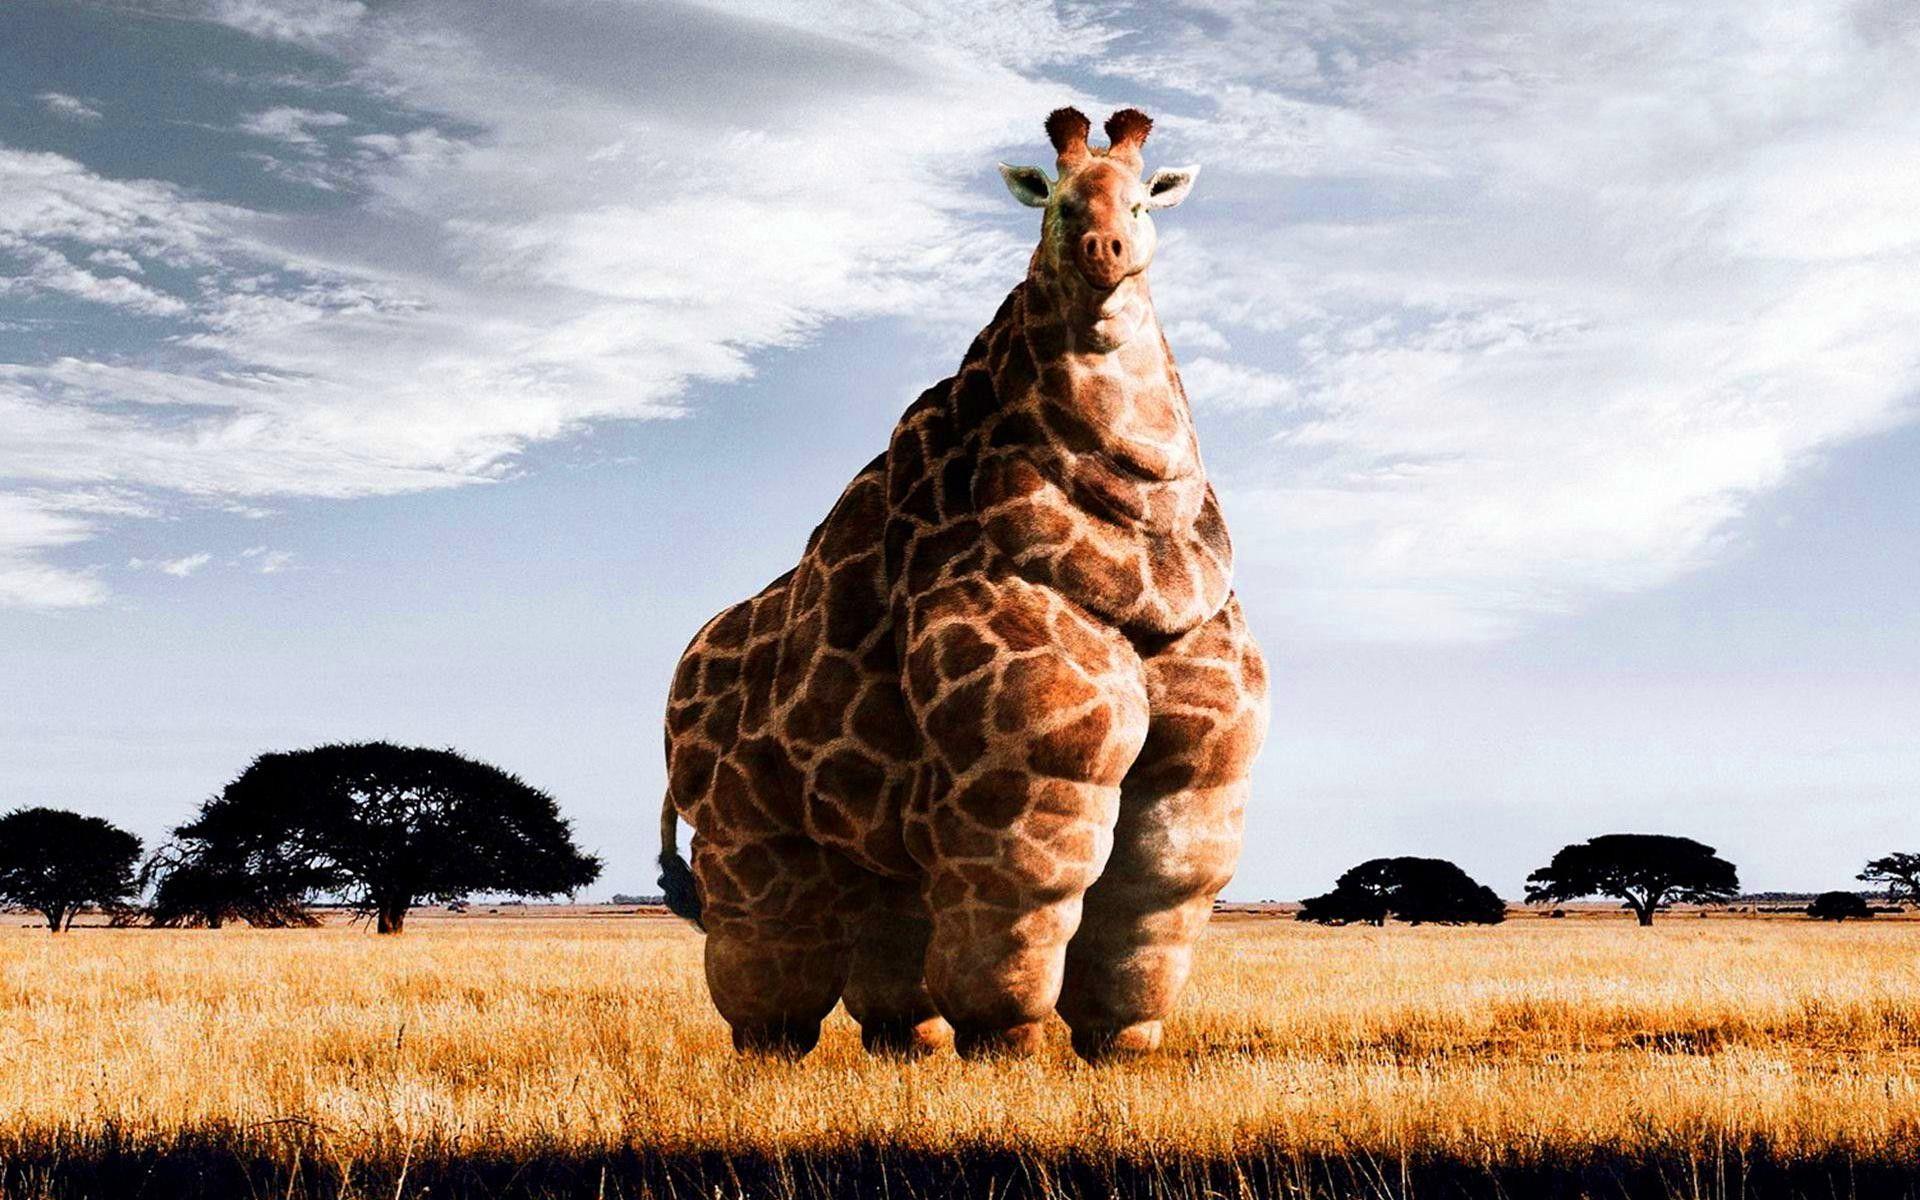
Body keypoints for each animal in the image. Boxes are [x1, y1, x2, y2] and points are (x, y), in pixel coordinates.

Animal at [659, 107, 1268, 1063]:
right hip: (745, 821)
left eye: (1141, 199)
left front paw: (1121, 1045)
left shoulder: (1202, 768)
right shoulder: (1033, 761)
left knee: (887, 945)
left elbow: (1157, 890)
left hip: (863, 836)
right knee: (767, 947)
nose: (1104, 250)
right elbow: (1024, 898)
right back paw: (773, 1051)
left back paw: (907, 1044)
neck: (1143, 549)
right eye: (1054, 201)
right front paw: (1006, 1047)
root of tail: (681, 673)